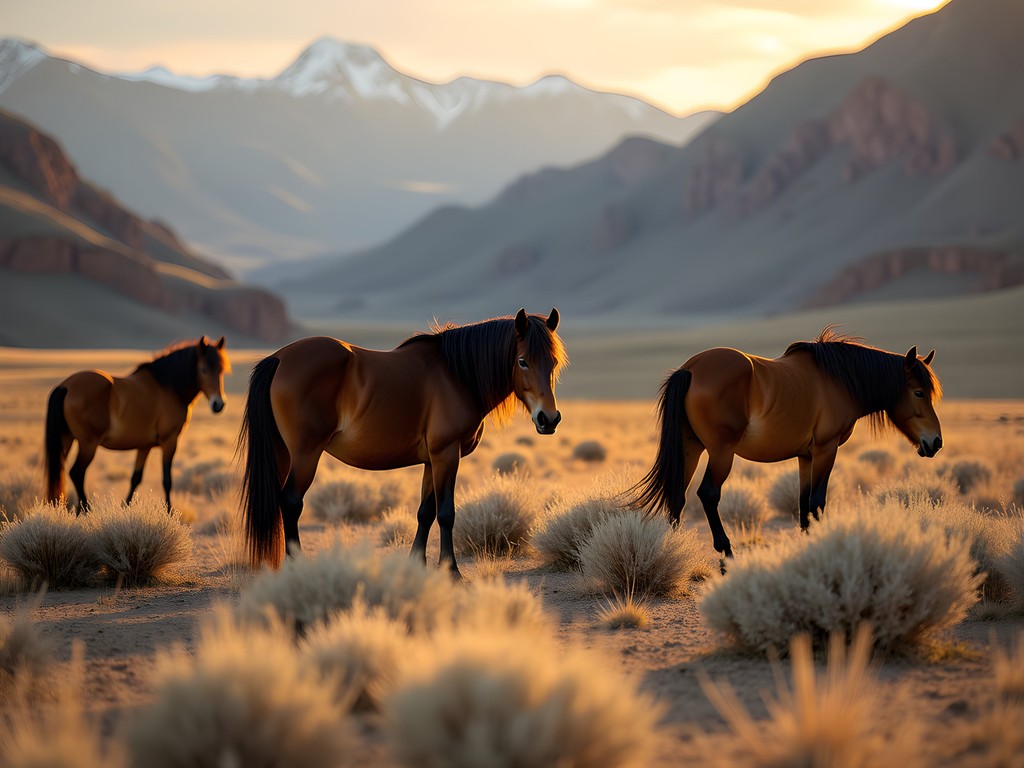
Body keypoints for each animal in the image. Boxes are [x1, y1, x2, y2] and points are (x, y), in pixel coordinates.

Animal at [45, 336, 230, 513]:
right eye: (204, 369)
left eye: (221, 370)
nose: (218, 404)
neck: (168, 386)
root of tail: (66, 386)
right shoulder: (169, 441)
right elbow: (167, 480)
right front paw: (169, 512)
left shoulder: (144, 446)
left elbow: (136, 478)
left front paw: (125, 509)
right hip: (88, 444)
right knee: (77, 473)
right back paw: (85, 511)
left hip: (67, 439)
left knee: (62, 471)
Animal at [239, 308, 566, 577]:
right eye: (522, 361)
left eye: (553, 362)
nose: (548, 419)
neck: (458, 375)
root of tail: (279, 358)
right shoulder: (447, 454)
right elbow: (446, 513)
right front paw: (451, 571)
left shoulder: (431, 460)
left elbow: (426, 512)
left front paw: (417, 565)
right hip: (306, 453)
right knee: (291, 502)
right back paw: (296, 567)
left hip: (283, 453)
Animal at [631, 327, 942, 562]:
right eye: (918, 392)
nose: (936, 442)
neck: (840, 380)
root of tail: (690, 369)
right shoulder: (826, 449)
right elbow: (817, 502)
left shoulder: (805, 456)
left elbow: (803, 505)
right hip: (721, 452)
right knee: (708, 494)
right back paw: (727, 554)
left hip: (690, 448)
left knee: (677, 496)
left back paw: (674, 551)